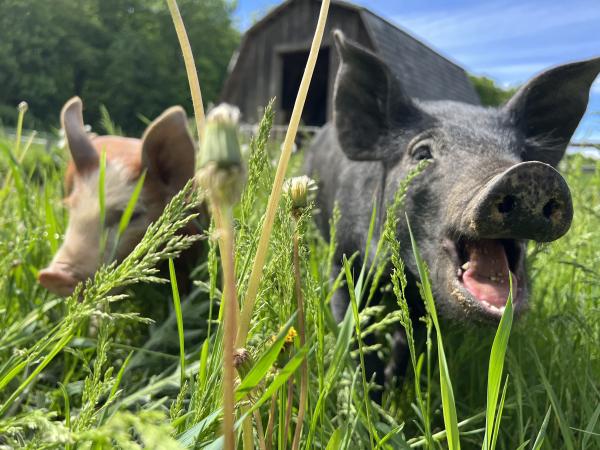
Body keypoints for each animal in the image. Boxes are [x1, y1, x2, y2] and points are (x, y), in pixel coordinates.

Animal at [308, 28, 596, 386]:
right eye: (421, 153)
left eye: (521, 152)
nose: (532, 172)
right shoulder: (343, 258)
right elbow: (357, 335)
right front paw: (376, 391)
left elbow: (413, 343)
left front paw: (396, 381)